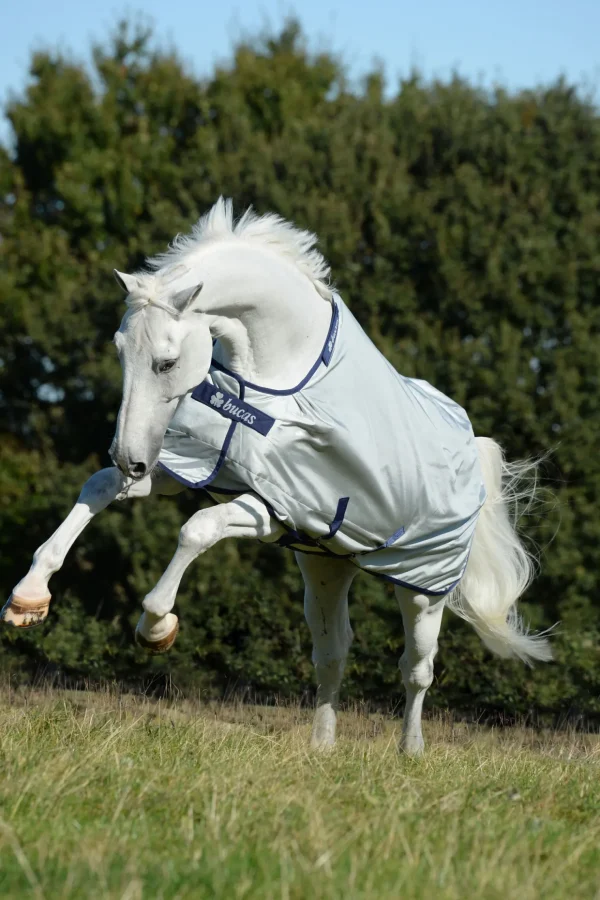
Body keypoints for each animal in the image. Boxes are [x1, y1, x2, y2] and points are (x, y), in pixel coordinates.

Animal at [2, 199, 552, 752]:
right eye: (119, 351)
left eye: (167, 362)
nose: (129, 457)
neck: (277, 373)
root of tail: (469, 444)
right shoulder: (196, 464)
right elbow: (99, 487)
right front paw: (28, 598)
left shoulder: (274, 506)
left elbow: (196, 529)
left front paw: (157, 626)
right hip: (326, 566)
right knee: (333, 654)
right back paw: (322, 748)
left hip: (422, 587)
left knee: (417, 669)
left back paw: (410, 751)